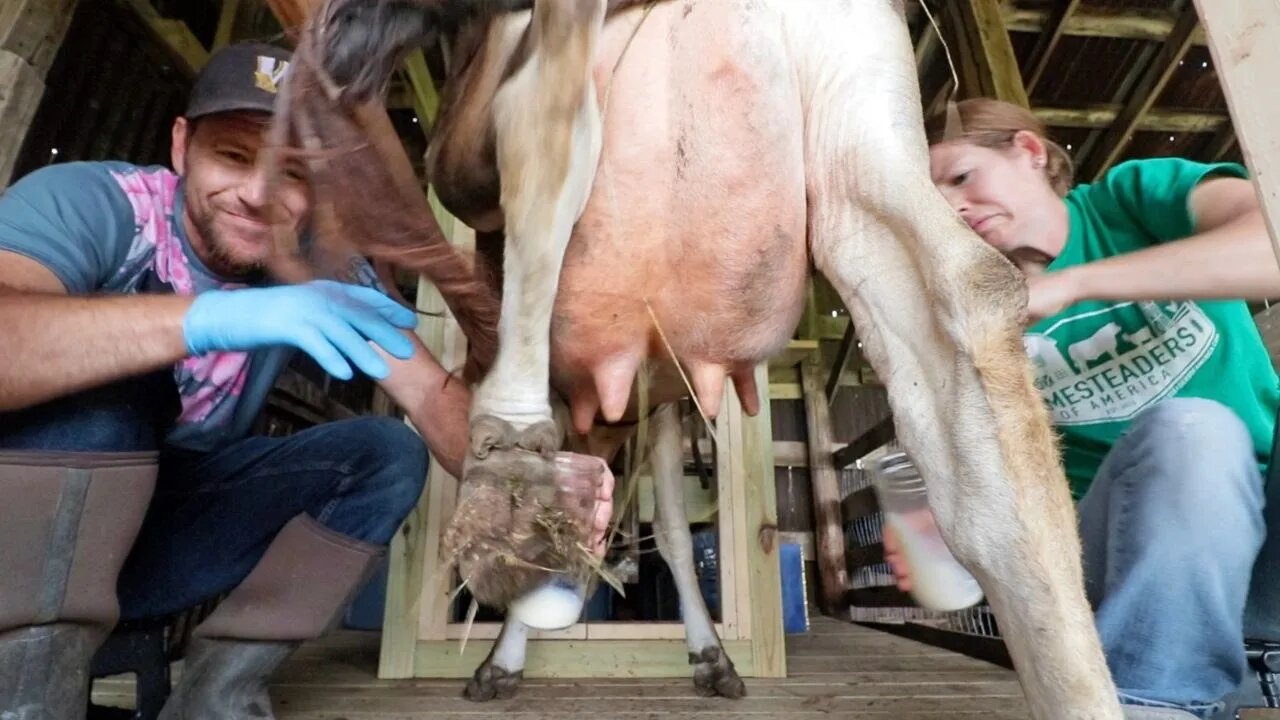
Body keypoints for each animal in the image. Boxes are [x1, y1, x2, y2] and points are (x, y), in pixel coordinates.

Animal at [267, 2, 1121, 712]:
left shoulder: (645, 397)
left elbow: (664, 527)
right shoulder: (664, 388)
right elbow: (667, 525)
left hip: (471, 138)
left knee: (544, 116)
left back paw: (505, 459)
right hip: (863, 144)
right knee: (972, 310)